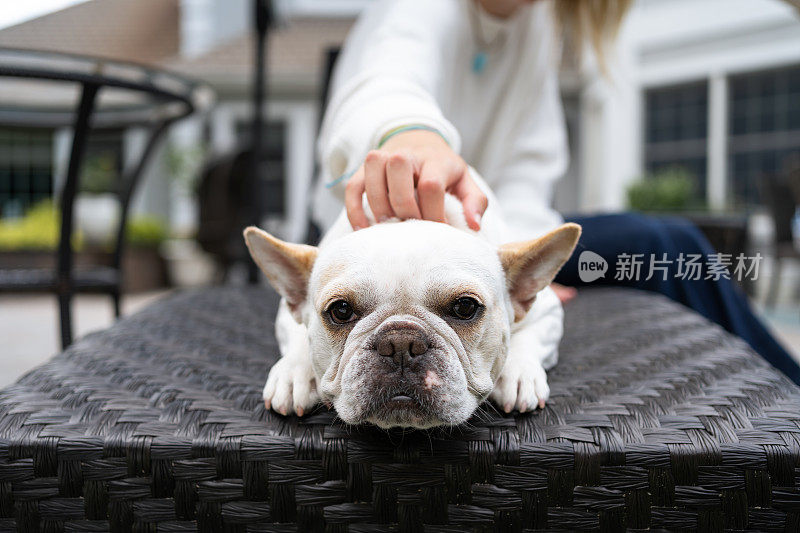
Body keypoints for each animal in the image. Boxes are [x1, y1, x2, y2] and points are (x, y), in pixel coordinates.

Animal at [241, 182, 580, 428]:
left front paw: (520, 374)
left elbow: (528, 339)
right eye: (341, 311)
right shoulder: (288, 314)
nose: (401, 343)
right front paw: (293, 375)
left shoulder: (547, 311)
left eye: (465, 307)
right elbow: (299, 338)